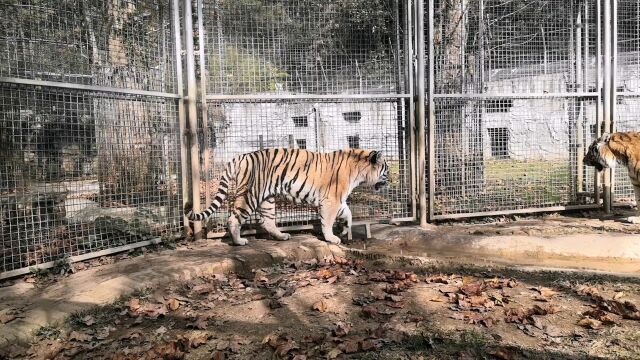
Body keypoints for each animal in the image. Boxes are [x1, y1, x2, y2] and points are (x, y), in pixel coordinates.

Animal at [182, 148, 388, 246]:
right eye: (386, 170)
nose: (390, 180)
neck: (359, 172)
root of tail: (241, 157)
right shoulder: (331, 200)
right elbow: (327, 222)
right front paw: (331, 238)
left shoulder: (339, 201)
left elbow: (348, 214)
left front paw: (345, 229)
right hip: (250, 194)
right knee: (233, 218)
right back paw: (239, 242)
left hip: (267, 199)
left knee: (267, 221)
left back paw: (282, 236)